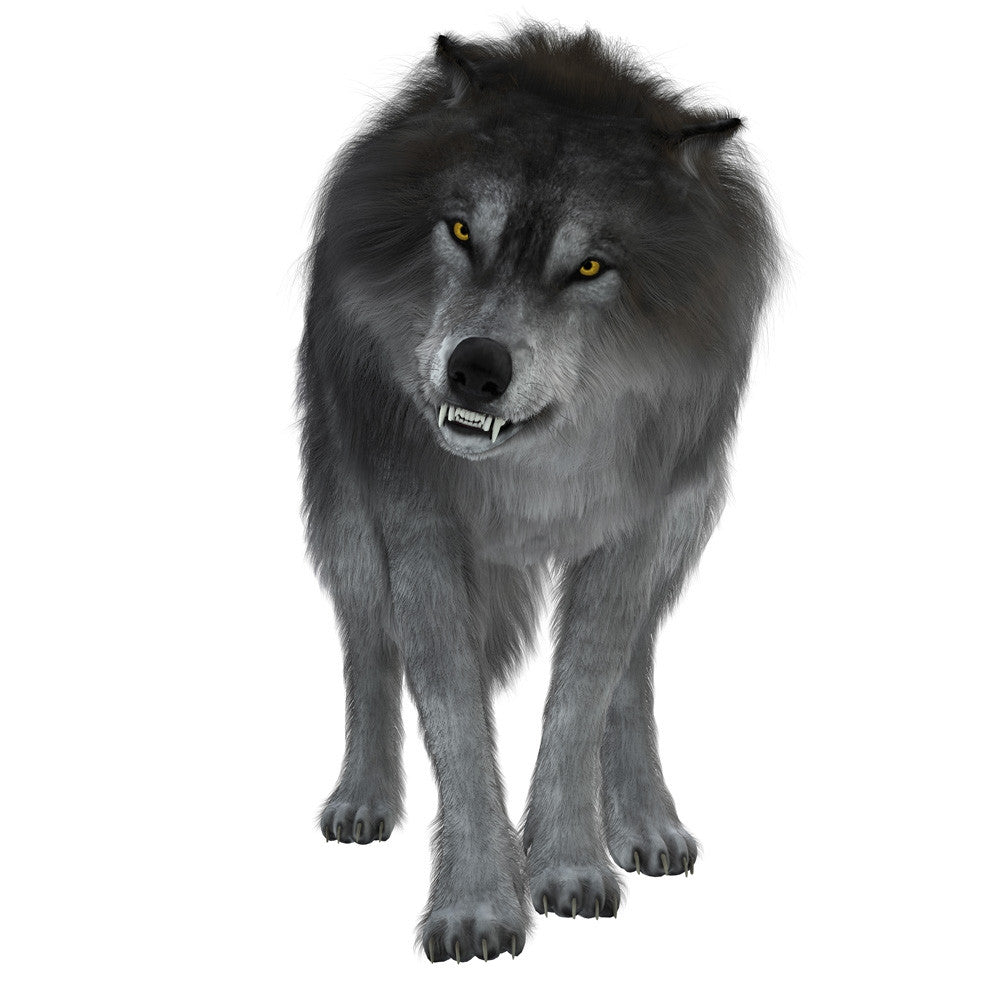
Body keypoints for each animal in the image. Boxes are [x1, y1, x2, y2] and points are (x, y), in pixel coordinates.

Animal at [298, 26, 780, 962]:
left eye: (588, 265)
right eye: (460, 230)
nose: (476, 370)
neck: (530, 471)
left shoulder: (630, 534)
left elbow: (581, 700)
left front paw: (570, 866)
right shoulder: (420, 533)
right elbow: (454, 721)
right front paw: (479, 904)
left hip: (682, 528)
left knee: (635, 665)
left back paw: (647, 821)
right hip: (347, 520)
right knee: (366, 648)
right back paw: (363, 799)